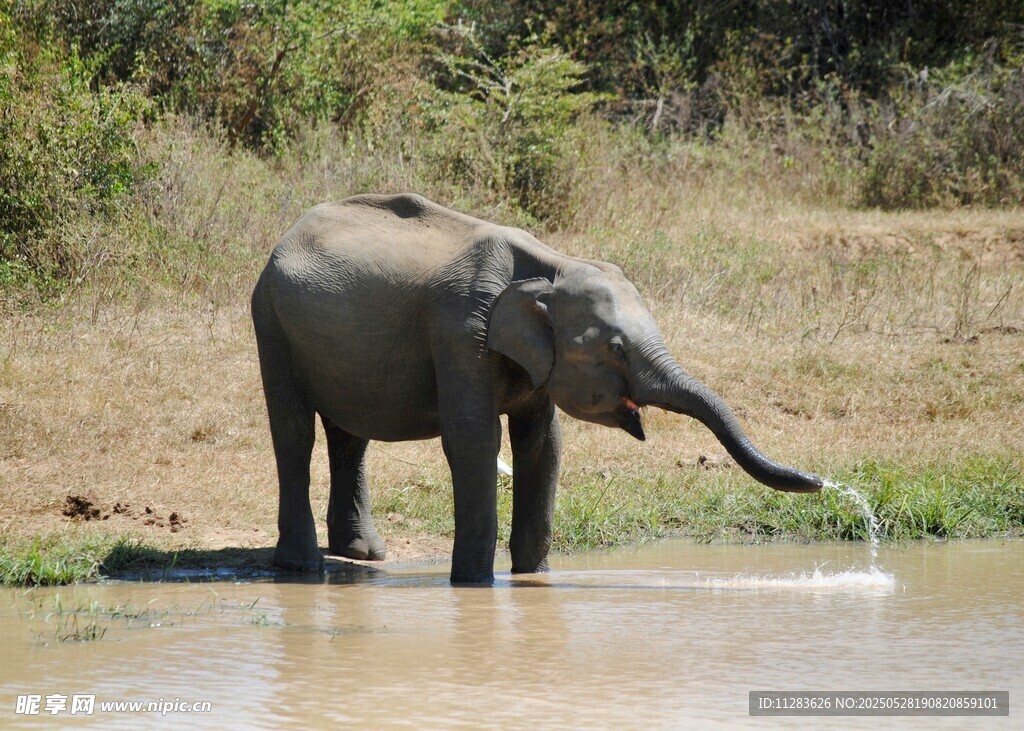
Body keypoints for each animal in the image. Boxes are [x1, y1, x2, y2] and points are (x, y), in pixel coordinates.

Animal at [251, 193, 823, 584]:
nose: (821, 482)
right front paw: (475, 585)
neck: (551, 266)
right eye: (615, 348)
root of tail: (289, 232)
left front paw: (535, 580)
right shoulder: (460, 334)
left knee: (351, 436)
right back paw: (302, 566)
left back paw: (364, 555)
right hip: (271, 320)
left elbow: (543, 445)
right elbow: (474, 440)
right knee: (295, 433)